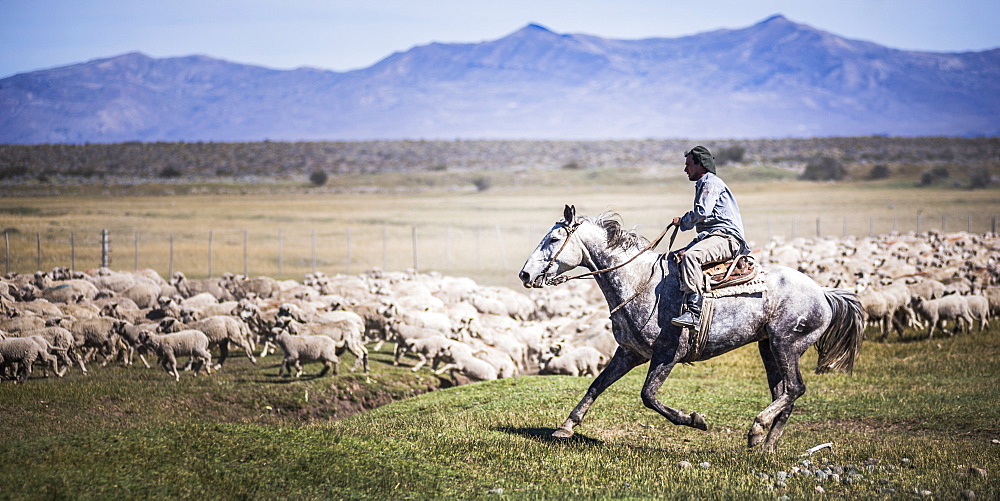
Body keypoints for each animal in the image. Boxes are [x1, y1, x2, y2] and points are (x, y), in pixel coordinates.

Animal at [520, 205, 864, 452]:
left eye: (553, 240)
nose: (525, 275)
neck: (641, 282)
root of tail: (824, 293)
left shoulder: (667, 355)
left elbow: (648, 396)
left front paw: (695, 420)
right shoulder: (630, 353)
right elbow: (596, 385)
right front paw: (566, 427)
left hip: (786, 345)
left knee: (795, 388)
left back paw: (756, 429)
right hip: (768, 347)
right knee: (784, 394)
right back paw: (765, 445)